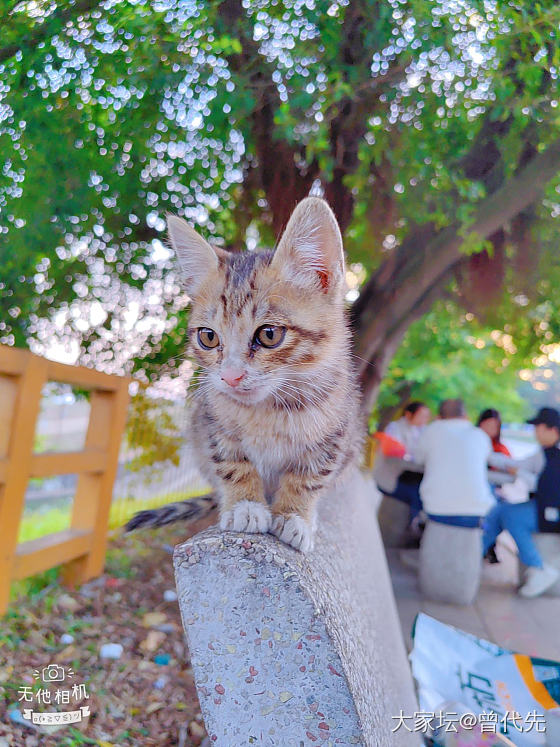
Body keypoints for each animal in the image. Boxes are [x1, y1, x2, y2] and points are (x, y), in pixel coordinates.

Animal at [129, 196, 360, 552]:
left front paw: (295, 515)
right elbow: (231, 462)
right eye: (208, 337)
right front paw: (245, 505)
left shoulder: (338, 434)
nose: (231, 377)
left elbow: (310, 476)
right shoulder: (211, 422)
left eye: (269, 334)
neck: (269, 411)